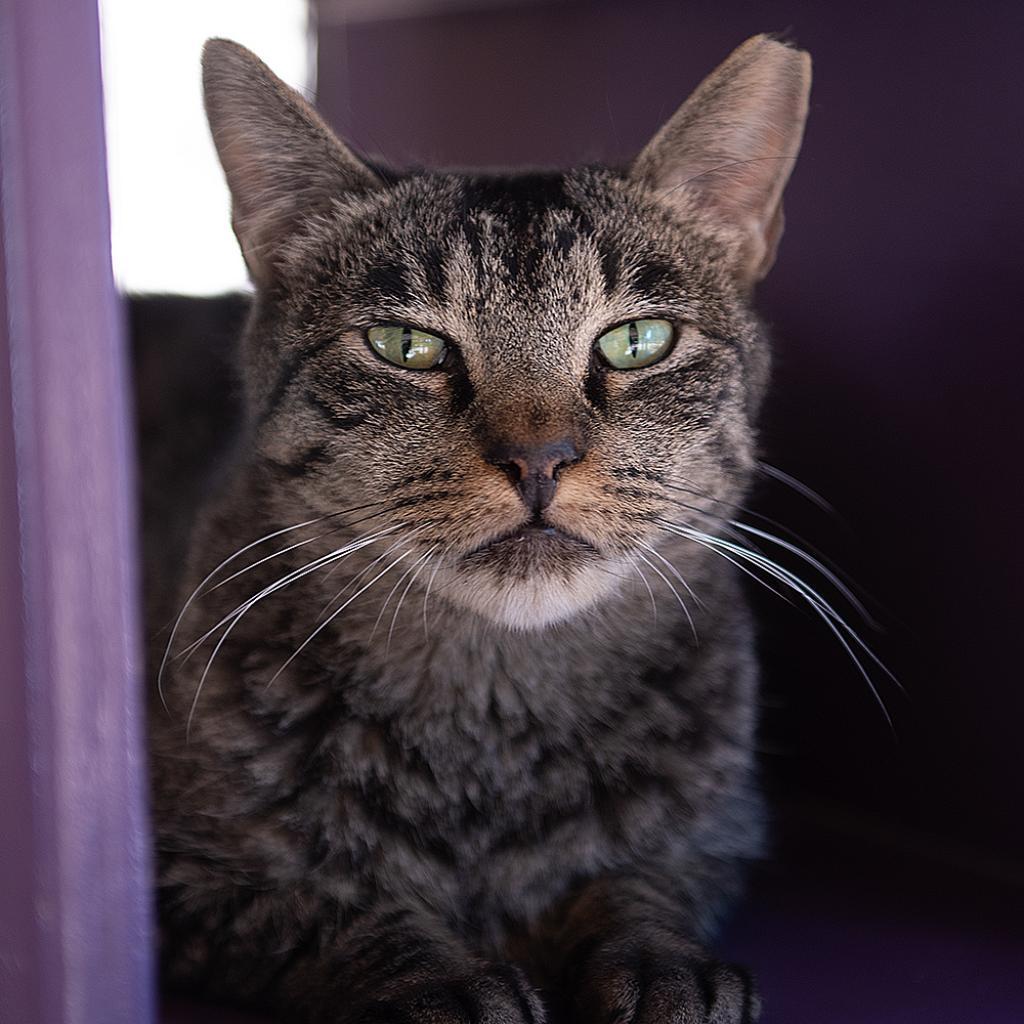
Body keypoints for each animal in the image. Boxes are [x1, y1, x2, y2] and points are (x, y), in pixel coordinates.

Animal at [148, 34, 811, 1024]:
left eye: (638, 341)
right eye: (406, 346)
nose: (539, 458)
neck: (493, 719)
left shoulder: (720, 834)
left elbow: (644, 876)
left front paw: (659, 957)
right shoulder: (177, 876)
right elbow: (324, 908)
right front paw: (441, 980)